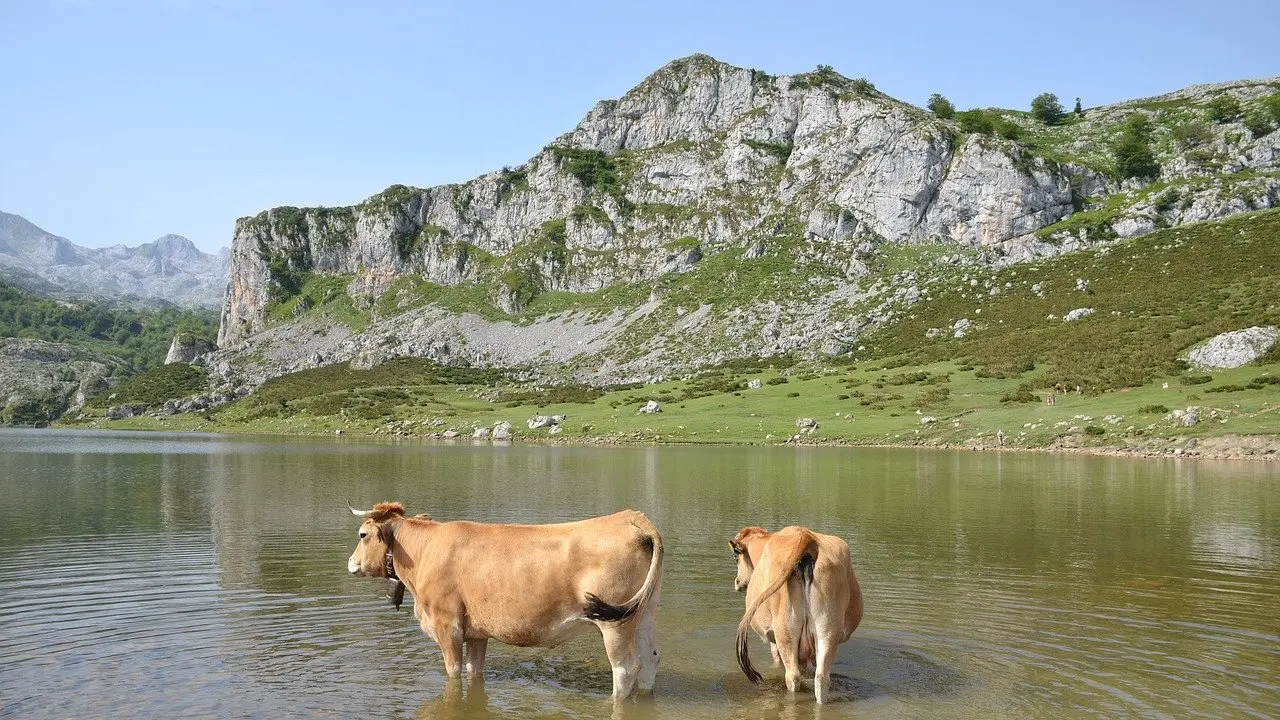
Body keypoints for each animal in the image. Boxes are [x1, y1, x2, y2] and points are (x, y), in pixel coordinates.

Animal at [345, 499, 665, 696]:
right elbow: (474, 672)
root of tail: (633, 518)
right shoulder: (476, 632)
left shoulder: (447, 624)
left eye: (362, 535)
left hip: (615, 625)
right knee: (650, 660)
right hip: (643, 613)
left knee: (625, 669)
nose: (350, 562)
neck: (424, 550)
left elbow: (453, 672)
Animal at [727, 520, 865, 702]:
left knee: (792, 676)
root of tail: (807, 537)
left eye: (736, 557)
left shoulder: (773, 639)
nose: (737, 582)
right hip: (828, 629)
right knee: (821, 678)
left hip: (784, 630)